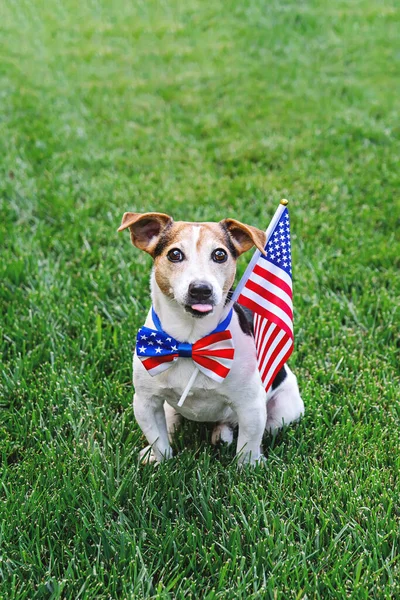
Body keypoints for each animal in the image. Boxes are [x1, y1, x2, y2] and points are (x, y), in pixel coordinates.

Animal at [117, 213, 304, 466]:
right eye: (174, 254)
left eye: (220, 254)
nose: (201, 289)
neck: (191, 342)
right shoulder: (146, 402)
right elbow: (159, 441)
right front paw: (161, 461)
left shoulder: (251, 406)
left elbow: (247, 446)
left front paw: (248, 467)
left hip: (284, 410)